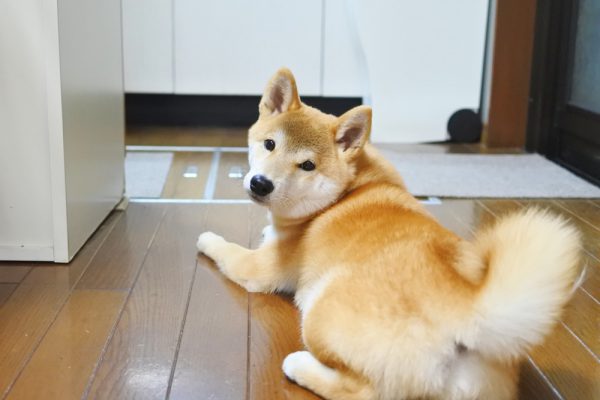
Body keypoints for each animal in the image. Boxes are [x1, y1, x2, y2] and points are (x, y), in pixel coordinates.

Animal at [197, 69, 580, 400]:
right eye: (270, 144)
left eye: (307, 166)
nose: (260, 184)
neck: (350, 188)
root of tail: (468, 308)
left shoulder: (259, 269)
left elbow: (224, 248)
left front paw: (206, 238)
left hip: (321, 313)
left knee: (362, 390)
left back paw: (300, 366)